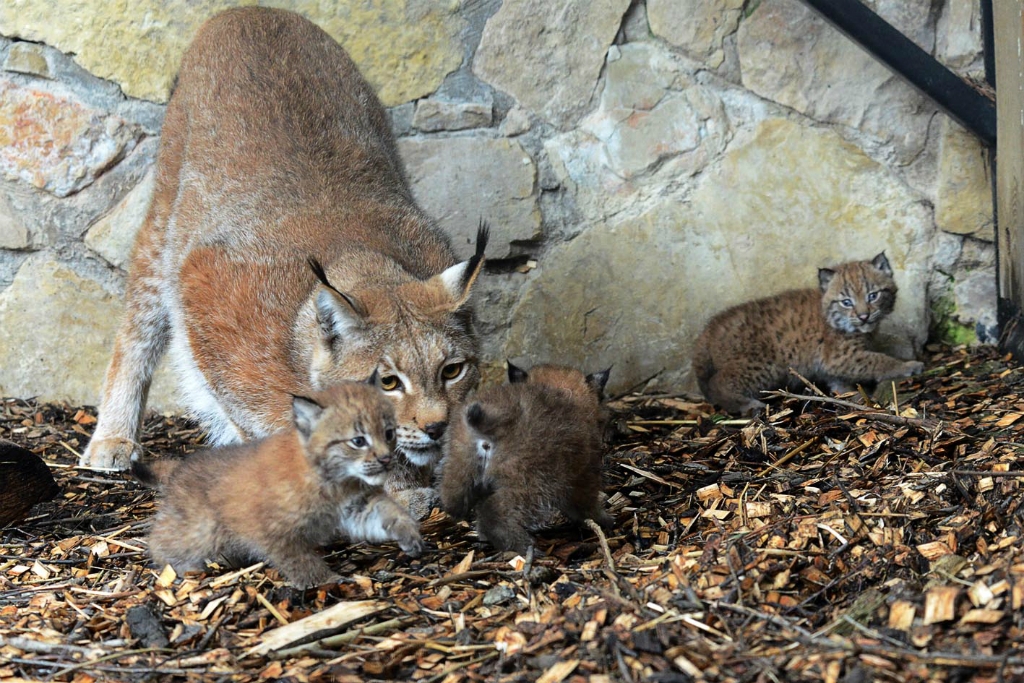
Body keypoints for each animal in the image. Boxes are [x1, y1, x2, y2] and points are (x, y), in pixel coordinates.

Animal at [132, 378, 419, 589]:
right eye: (358, 441)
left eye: (389, 433)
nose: (386, 459)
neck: (335, 480)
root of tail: (182, 466)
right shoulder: (273, 530)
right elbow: (300, 559)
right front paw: (326, 580)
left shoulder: (355, 506)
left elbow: (386, 512)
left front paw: (408, 532)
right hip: (202, 529)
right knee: (159, 540)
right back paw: (180, 568)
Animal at [438, 362, 610, 557]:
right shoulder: (583, 473)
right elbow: (586, 503)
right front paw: (604, 519)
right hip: (532, 480)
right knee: (497, 514)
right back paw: (526, 547)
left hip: (458, 462)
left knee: (452, 500)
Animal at [692, 252, 925, 417]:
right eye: (846, 302)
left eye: (873, 295)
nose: (864, 316)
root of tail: (707, 330)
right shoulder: (841, 356)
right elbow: (878, 360)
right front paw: (906, 366)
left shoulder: (831, 364)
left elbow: (841, 381)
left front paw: (851, 395)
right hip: (762, 365)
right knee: (718, 384)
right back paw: (749, 405)